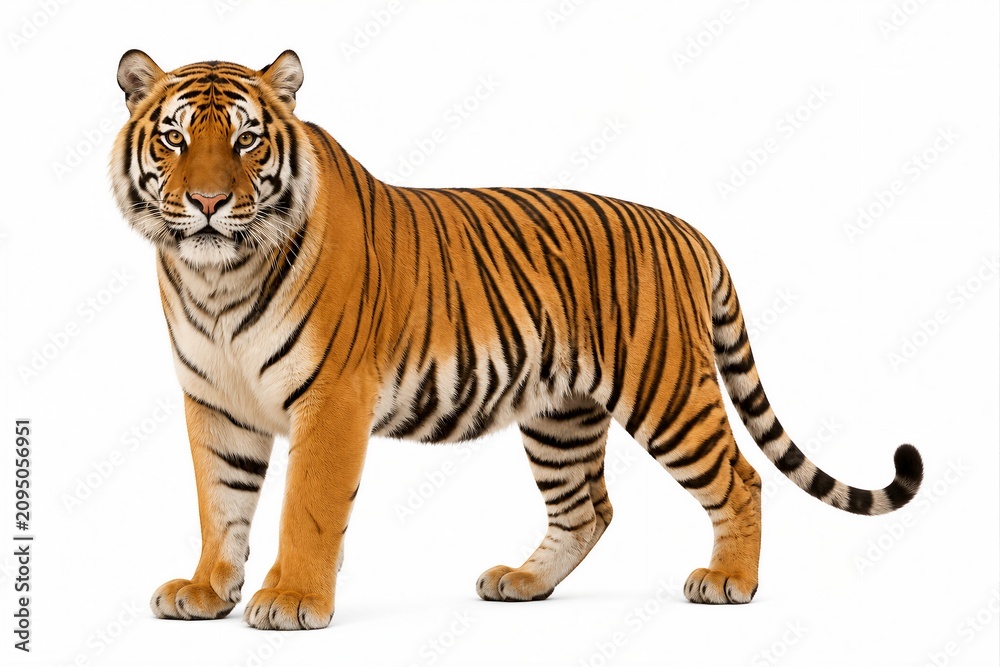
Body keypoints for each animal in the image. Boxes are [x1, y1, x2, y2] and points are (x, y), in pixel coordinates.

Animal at [110, 49, 924, 631]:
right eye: (175, 138)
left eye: (247, 139)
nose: (207, 201)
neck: (216, 278)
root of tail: (688, 230)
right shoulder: (217, 402)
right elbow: (220, 501)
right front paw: (207, 590)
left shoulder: (331, 399)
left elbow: (305, 506)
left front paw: (291, 599)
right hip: (561, 415)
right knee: (588, 508)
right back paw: (524, 582)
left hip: (667, 392)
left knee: (740, 478)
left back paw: (730, 582)